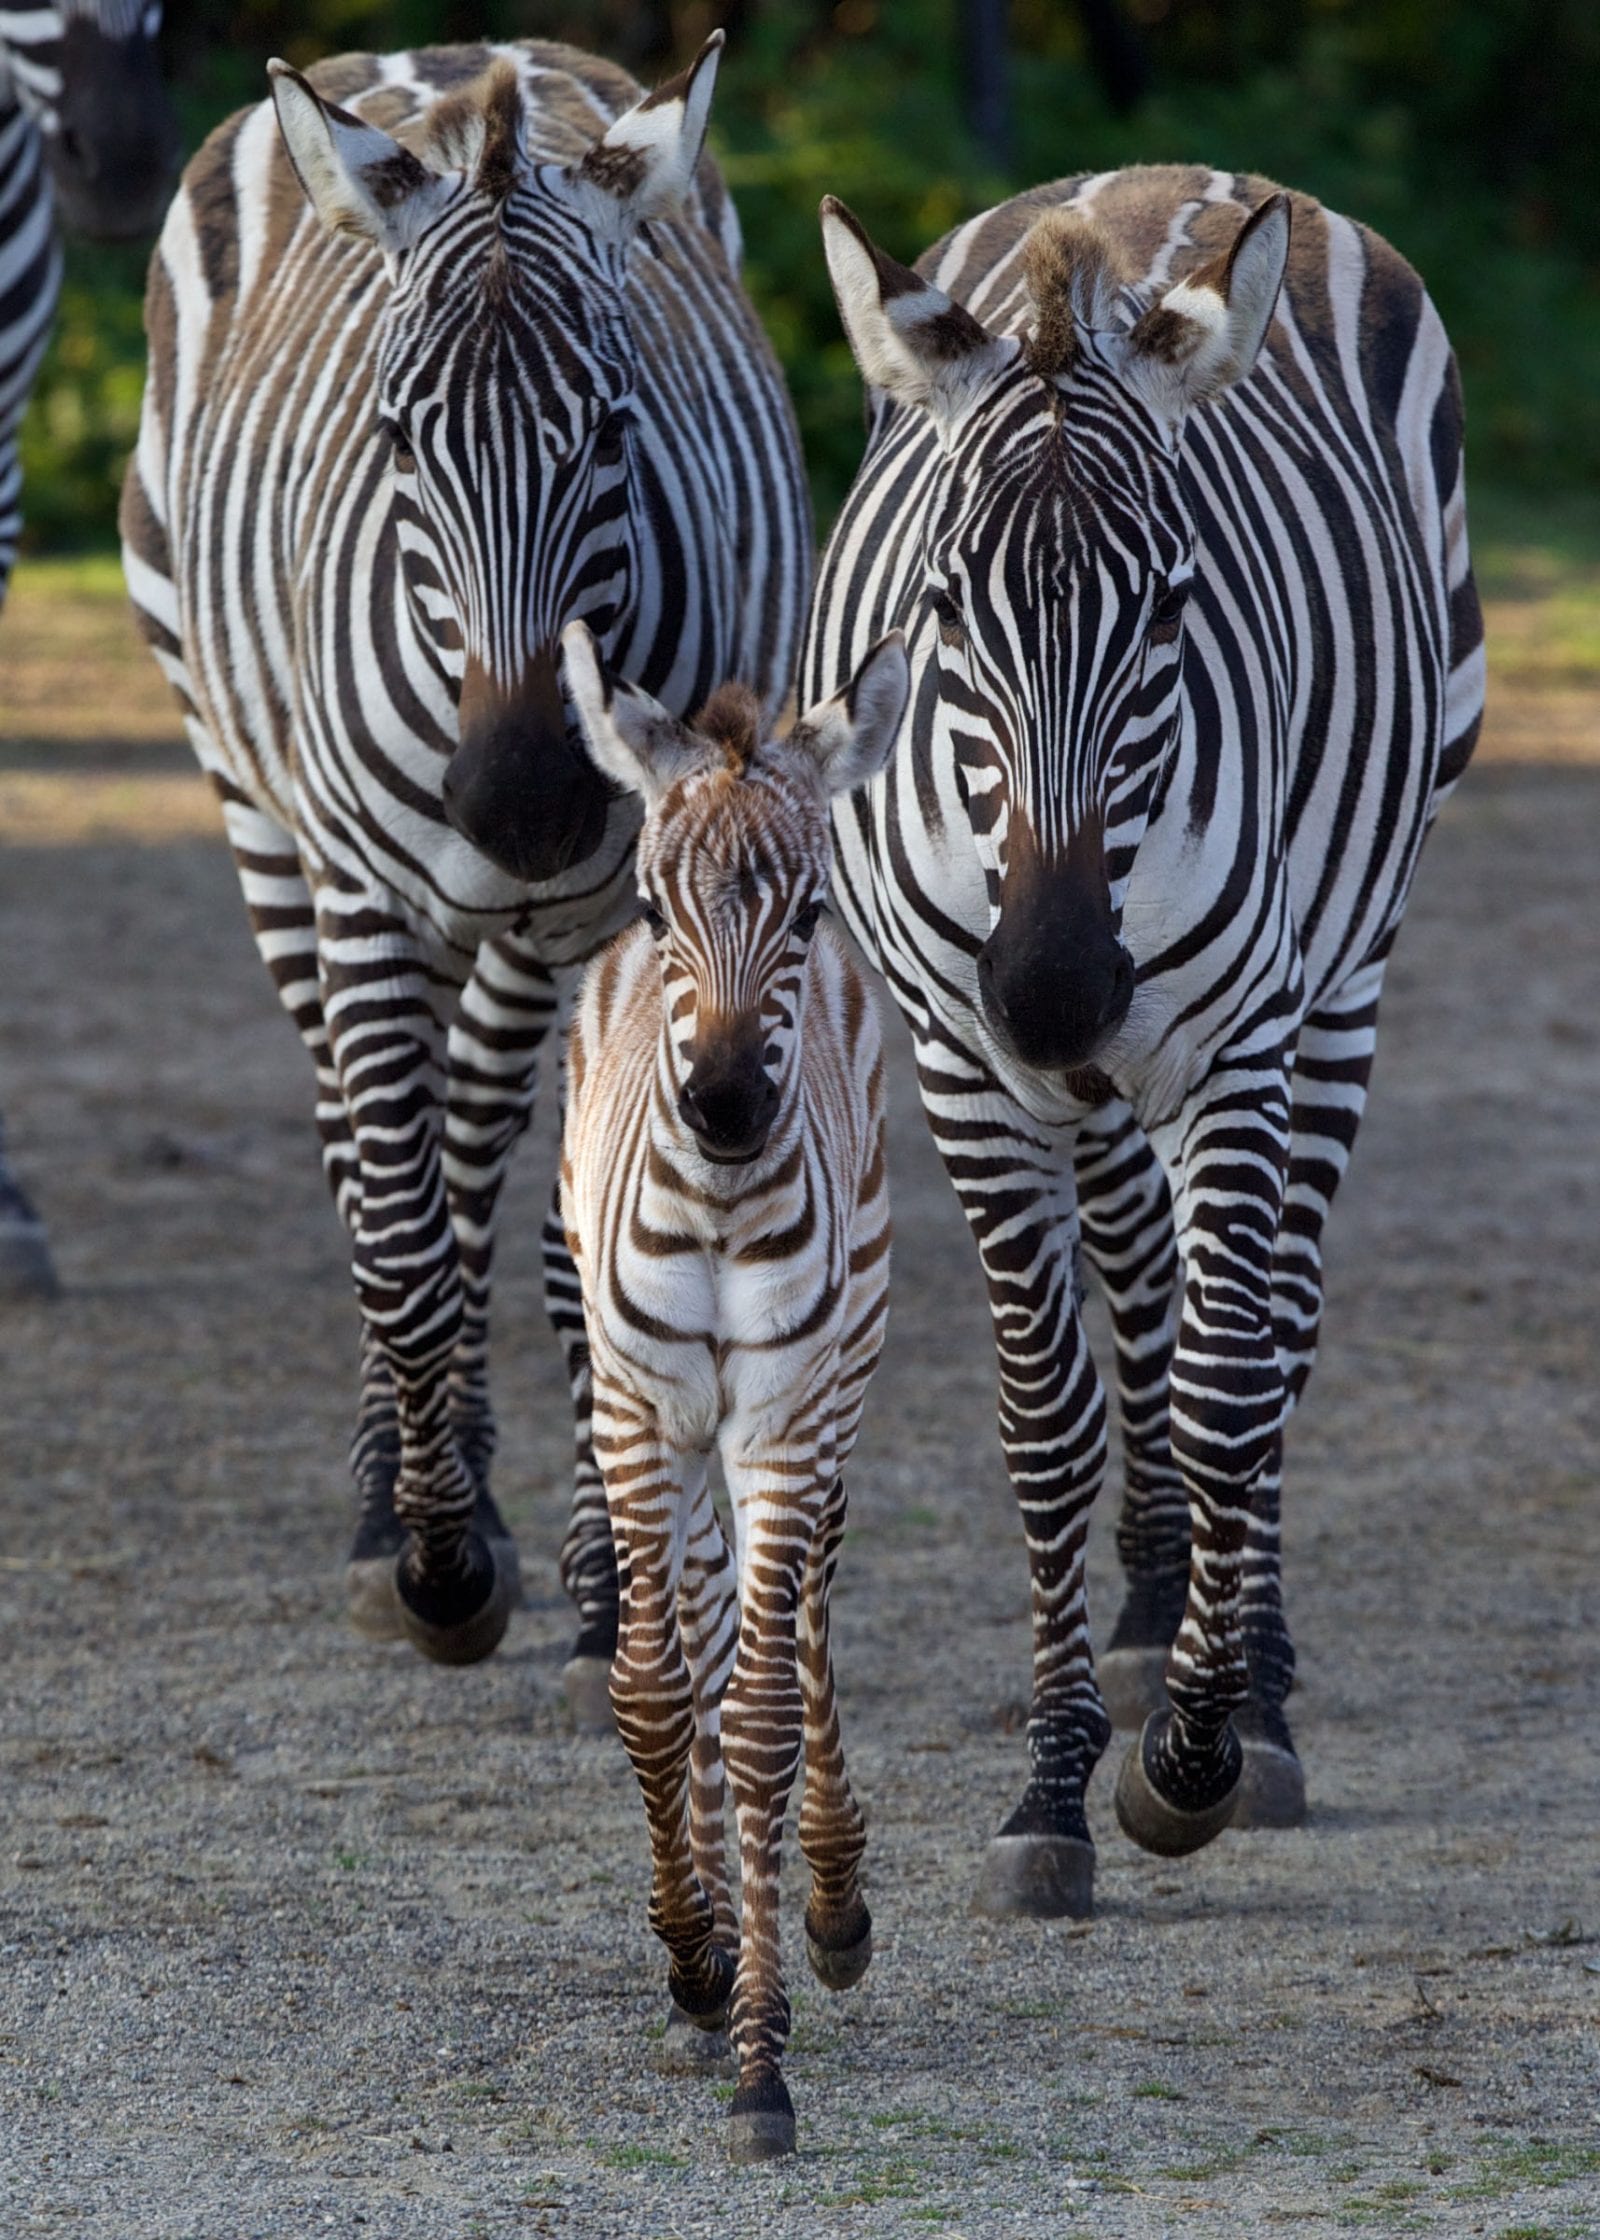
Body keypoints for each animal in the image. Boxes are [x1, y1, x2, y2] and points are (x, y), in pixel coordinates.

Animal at [121, 35, 811, 1675]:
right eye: (394, 436)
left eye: (616, 429)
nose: (520, 801)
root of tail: (452, 59)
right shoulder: (365, 892)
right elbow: (399, 1237)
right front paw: (435, 1563)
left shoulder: (611, 913)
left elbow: (573, 1230)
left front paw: (608, 1579)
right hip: (261, 822)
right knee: (366, 1156)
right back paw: (397, 1501)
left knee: (477, 1147)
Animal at [797, 165, 1478, 1908]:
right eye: (944, 610)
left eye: (1175, 602)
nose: (1054, 987)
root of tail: (1168, 180)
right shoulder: (970, 1070)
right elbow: (1053, 1422)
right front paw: (1052, 1784)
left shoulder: (1239, 1043)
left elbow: (1234, 1385)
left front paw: (1191, 1759)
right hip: (1105, 1089)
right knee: (1149, 1306)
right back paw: (1160, 1603)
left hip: (1340, 981)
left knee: (1269, 1325)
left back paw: (1251, 1681)